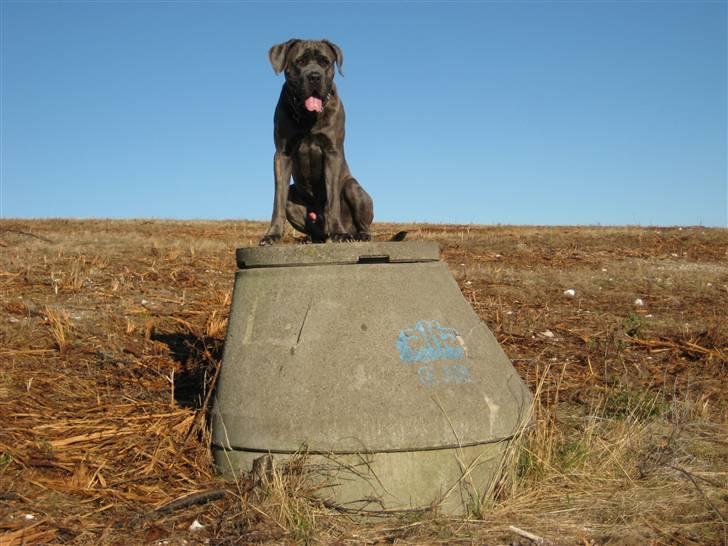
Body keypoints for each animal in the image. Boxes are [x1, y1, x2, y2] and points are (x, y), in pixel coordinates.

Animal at [258, 38, 372, 242]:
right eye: (300, 62)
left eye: (325, 62)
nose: (314, 76)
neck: (307, 117)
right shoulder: (282, 154)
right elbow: (278, 199)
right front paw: (272, 235)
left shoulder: (332, 152)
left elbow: (333, 199)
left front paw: (339, 232)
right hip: (293, 197)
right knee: (314, 230)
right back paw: (308, 238)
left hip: (353, 188)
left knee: (361, 222)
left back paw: (358, 235)